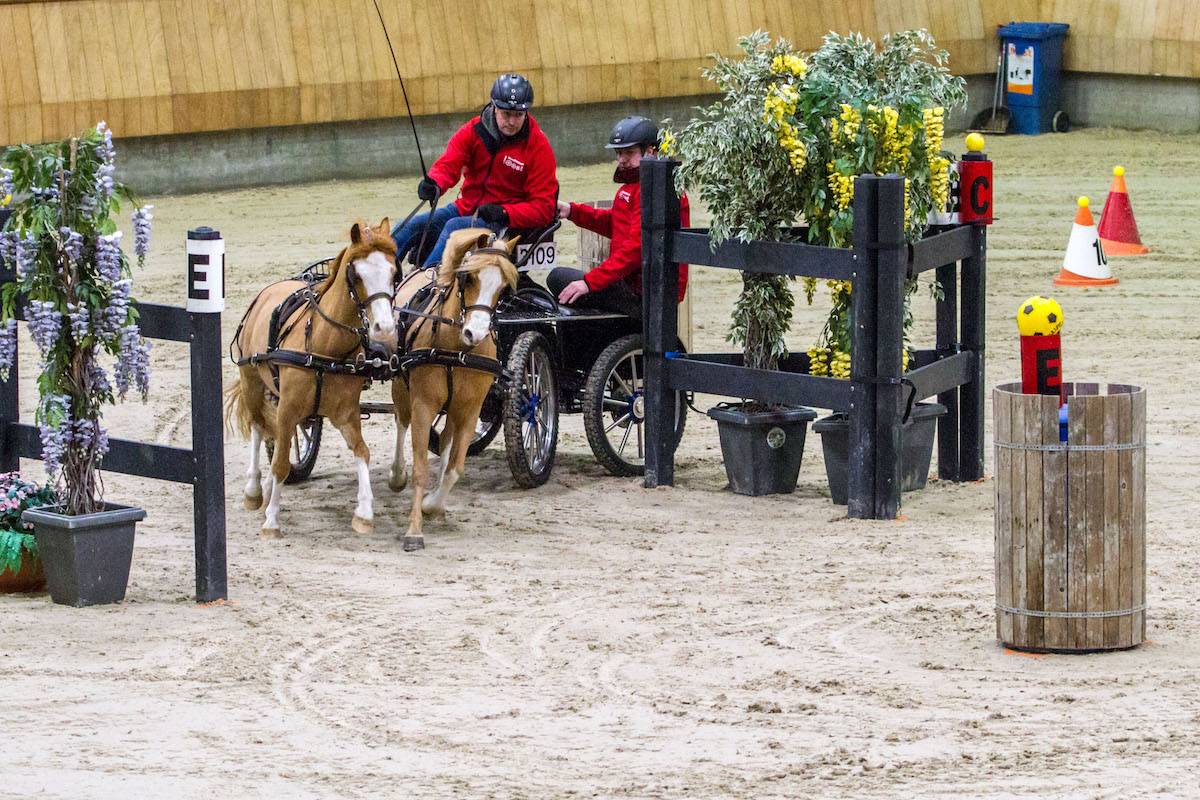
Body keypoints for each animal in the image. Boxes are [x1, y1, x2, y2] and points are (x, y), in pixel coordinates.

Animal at [226, 218, 398, 538]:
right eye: (356, 274)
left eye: (394, 272)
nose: (385, 328)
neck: (324, 345)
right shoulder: (288, 409)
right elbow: (281, 463)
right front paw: (271, 520)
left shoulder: (346, 413)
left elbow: (362, 452)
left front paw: (364, 513)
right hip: (251, 379)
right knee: (258, 427)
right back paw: (254, 489)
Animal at [389, 227, 519, 551]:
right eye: (468, 278)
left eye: (503, 289)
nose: (476, 332)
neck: (456, 349)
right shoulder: (423, 405)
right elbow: (421, 468)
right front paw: (414, 530)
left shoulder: (470, 410)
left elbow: (455, 467)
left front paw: (432, 505)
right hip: (401, 386)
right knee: (401, 421)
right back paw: (396, 475)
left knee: (447, 441)